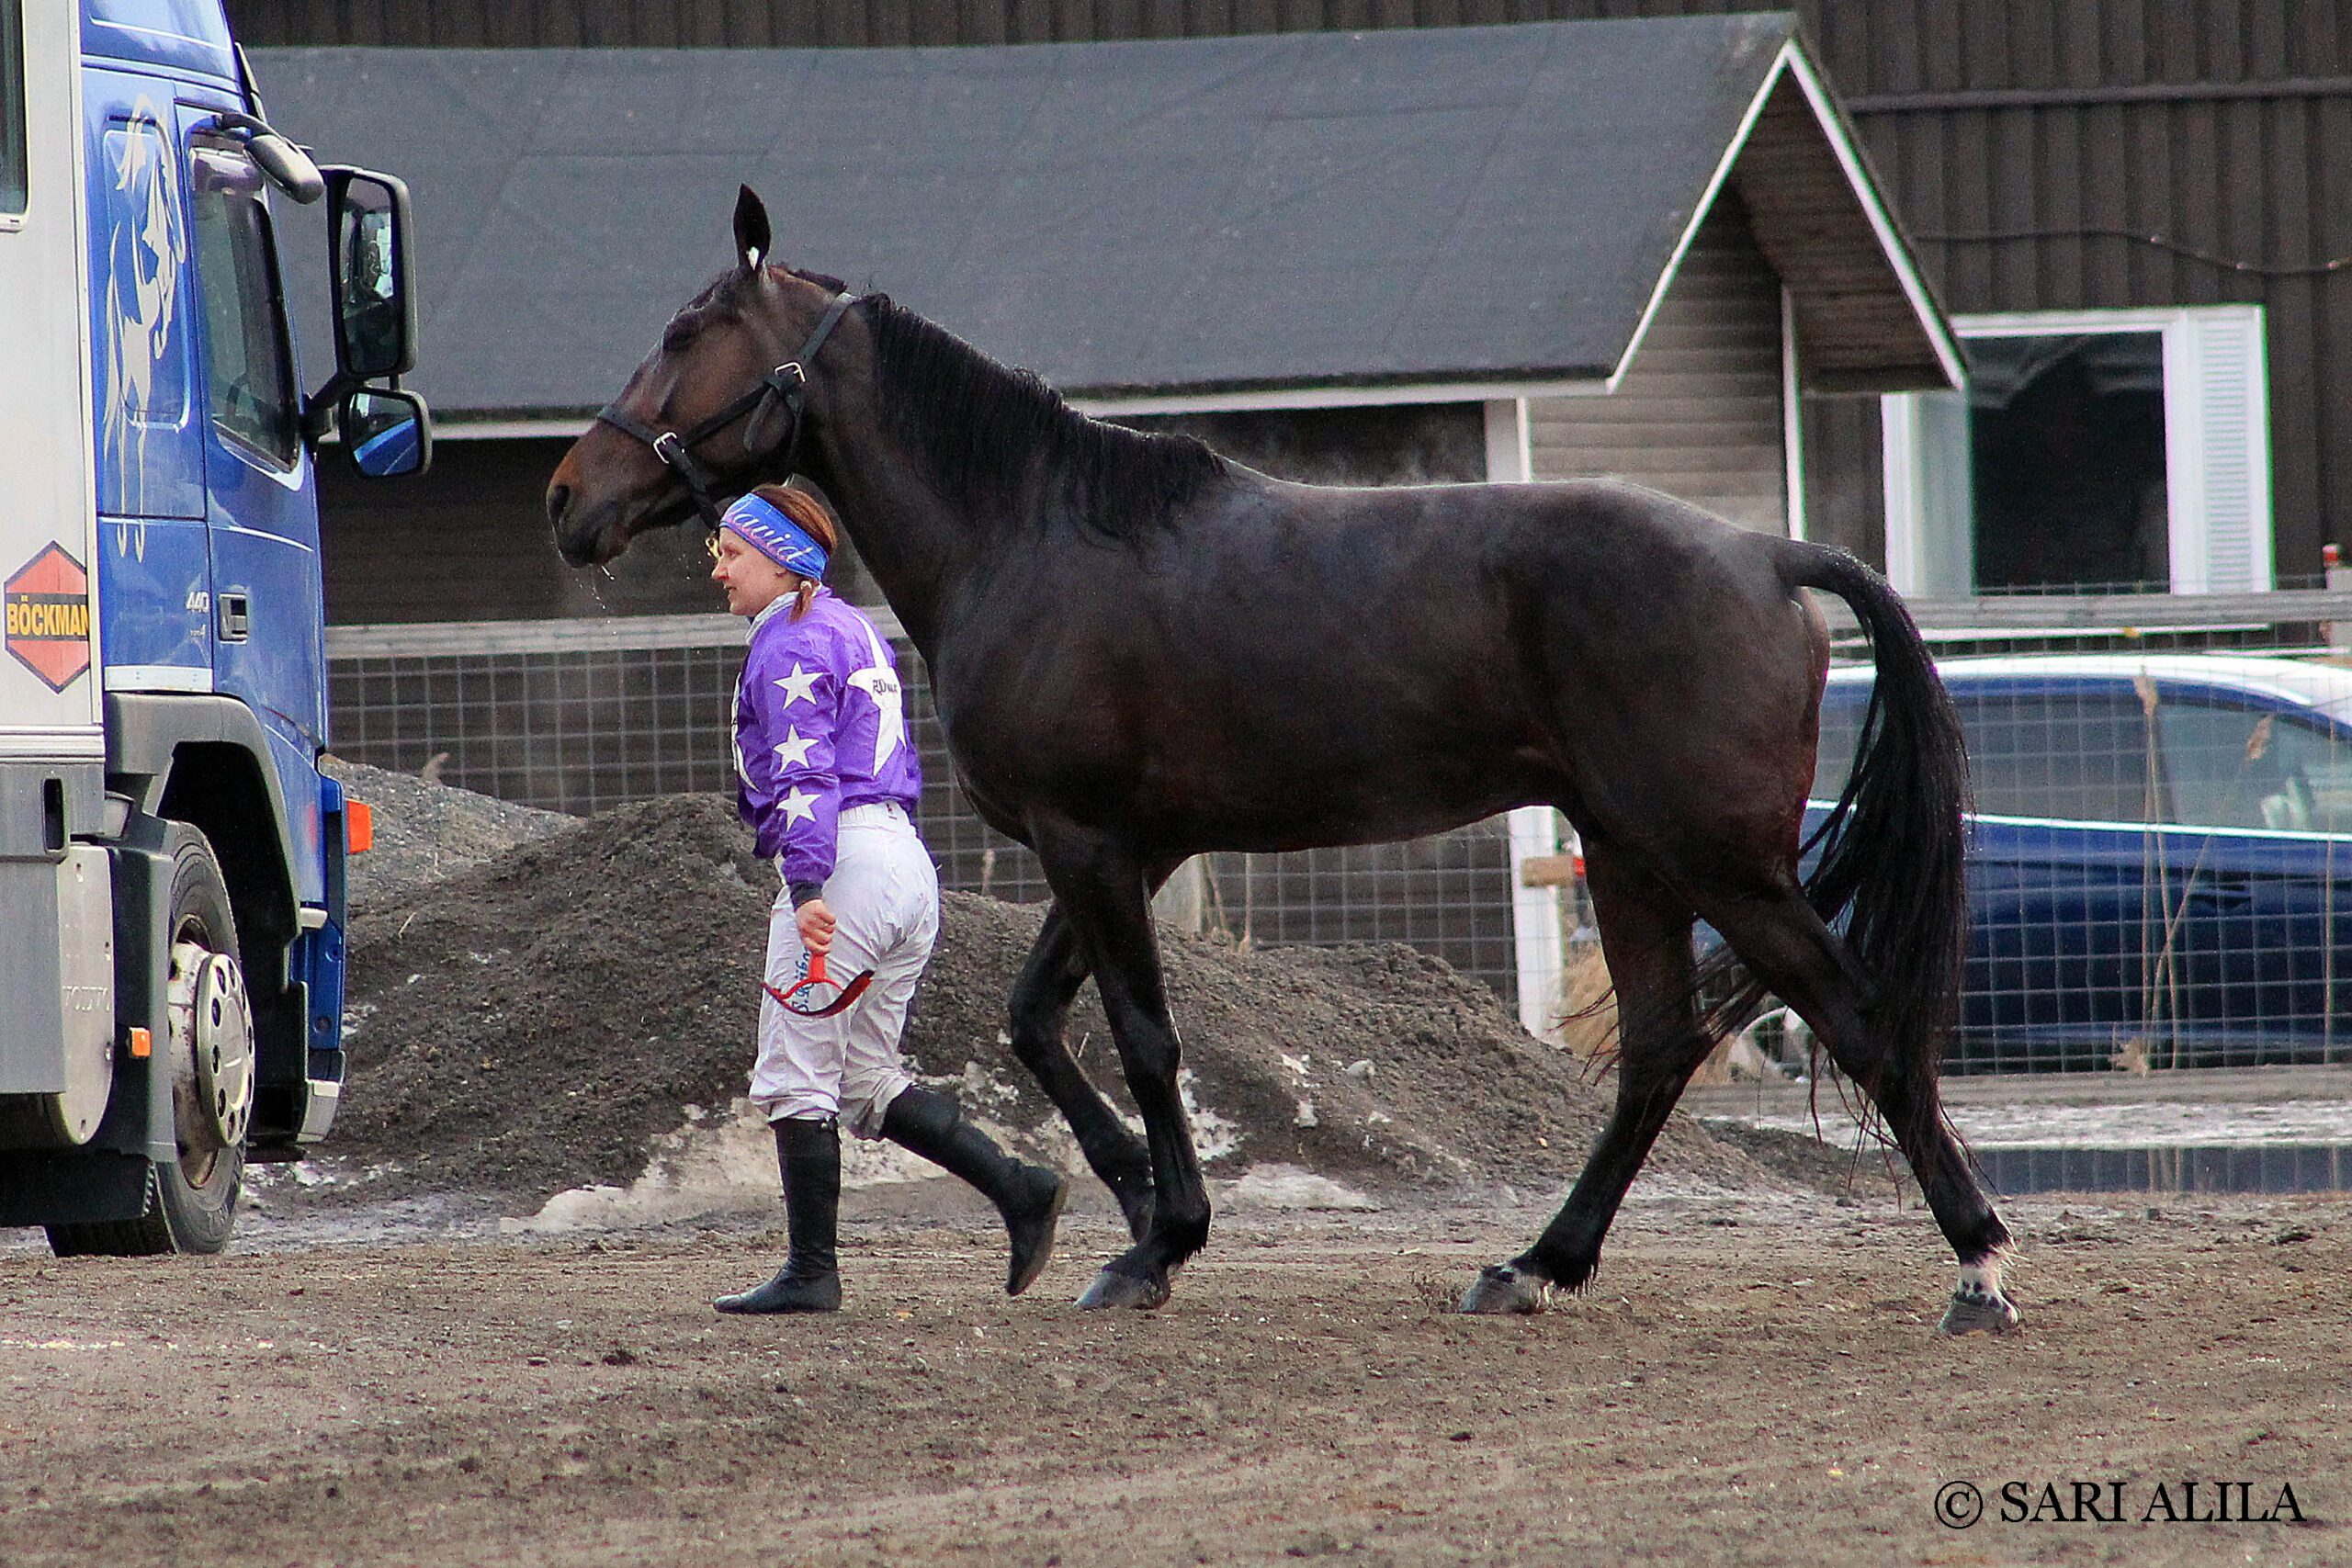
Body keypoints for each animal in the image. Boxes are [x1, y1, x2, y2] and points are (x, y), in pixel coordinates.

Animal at [546, 187, 2020, 1334]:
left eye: (684, 333)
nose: (568, 499)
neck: (1032, 534)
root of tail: (1767, 554)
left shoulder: (1091, 845)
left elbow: (1144, 1036)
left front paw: (1156, 1241)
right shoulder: (1127, 852)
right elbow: (1035, 1022)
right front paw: (1119, 1198)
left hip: (1719, 861)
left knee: (1862, 1018)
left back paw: (1978, 1267)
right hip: (1630, 853)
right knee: (1661, 1046)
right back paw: (1535, 1264)